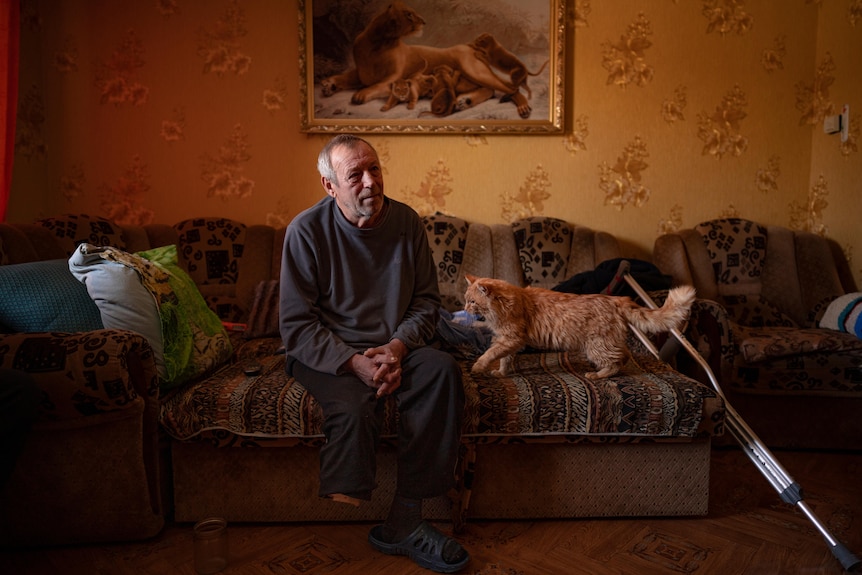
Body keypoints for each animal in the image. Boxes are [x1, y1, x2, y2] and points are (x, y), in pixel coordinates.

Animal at [462, 276, 700, 380]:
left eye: (472, 301)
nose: (464, 307)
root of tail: (616, 299)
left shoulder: (510, 338)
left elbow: (490, 354)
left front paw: (479, 367)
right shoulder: (508, 340)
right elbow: (504, 359)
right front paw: (501, 372)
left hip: (597, 345)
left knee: (616, 362)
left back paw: (597, 375)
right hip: (606, 342)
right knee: (624, 355)